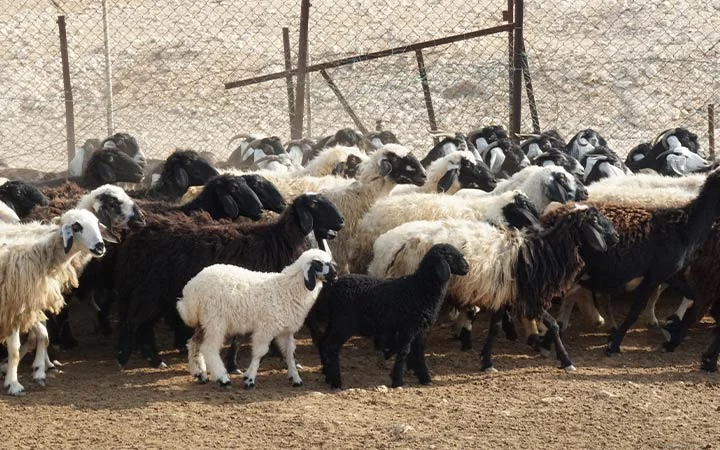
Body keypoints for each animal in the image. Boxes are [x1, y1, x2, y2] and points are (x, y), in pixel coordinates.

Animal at [0, 209, 115, 395]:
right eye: (77, 226)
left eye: (97, 223)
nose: (100, 247)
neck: (38, 254)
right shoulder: (12, 306)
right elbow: (16, 349)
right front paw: (13, 384)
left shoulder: (29, 306)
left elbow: (42, 336)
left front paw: (39, 370)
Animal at [113, 193, 345, 368]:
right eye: (314, 204)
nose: (341, 221)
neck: (281, 240)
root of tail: (139, 234)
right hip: (150, 289)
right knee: (134, 321)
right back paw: (127, 357)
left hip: (155, 292)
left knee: (143, 324)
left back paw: (151, 359)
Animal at [178, 249, 337, 388]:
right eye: (320, 264)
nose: (335, 276)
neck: (288, 288)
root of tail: (191, 290)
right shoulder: (265, 329)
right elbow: (260, 354)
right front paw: (249, 379)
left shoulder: (285, 331)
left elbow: (289, 353)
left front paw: (296, 378)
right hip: (215, 321)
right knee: (209, 348)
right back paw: (223, 379)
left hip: (203, 321)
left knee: (193, 343)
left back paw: (200, 374)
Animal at [316, 244, 469, 389]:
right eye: (450, 256)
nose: (467, 267)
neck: (420, 287)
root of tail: (335, 287)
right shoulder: (408, 327)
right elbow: (404, 351)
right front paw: (397, 381)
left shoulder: (417, 328)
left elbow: (419, 353)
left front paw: (425, 379)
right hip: (344, 323)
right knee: (331, 347)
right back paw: (336, 382)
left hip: (335, 321)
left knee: (323, 342)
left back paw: (327, 376)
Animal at [367, 204, 618, 371]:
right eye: (596, 221)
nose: (616, 237)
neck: (539, 253)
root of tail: (394, 246)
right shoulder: (529, 298)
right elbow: (555, 326)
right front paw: (566, 361)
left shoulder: (503, 296)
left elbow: (495, 329)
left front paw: (487, 361)